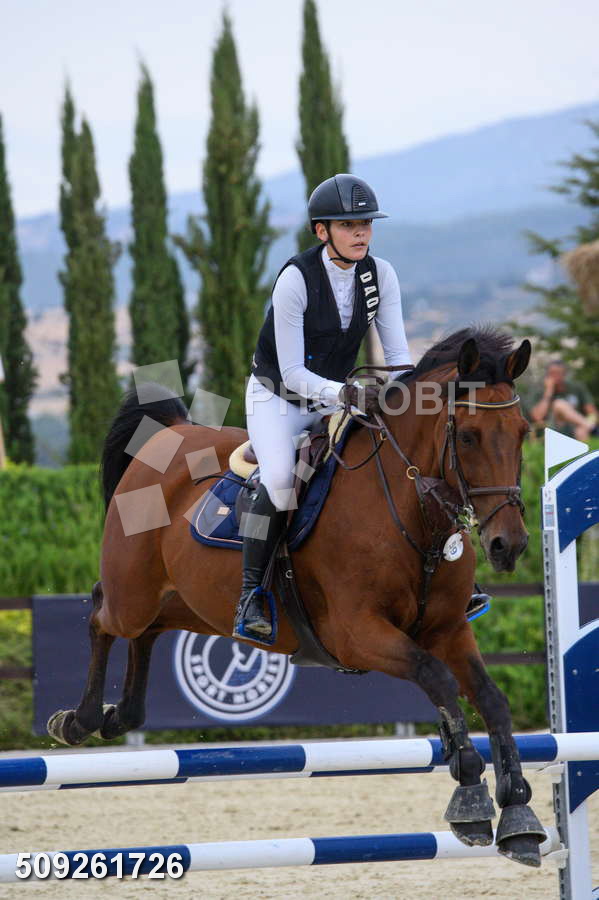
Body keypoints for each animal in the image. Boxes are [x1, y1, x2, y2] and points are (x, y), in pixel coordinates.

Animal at [48, 325, 546, 867]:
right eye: (469, 435)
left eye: (522, 431)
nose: (509, 544)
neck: (410, 510)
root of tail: (169, 435)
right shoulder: (357, 634)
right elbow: (436, 678)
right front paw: (470, 795)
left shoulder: (448, 630)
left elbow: (491, 700)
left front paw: (518, 814)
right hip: (132, 594)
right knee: (102, 615)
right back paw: (79, 720)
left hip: (186, 601)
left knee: (147, 633)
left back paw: (123, 716)